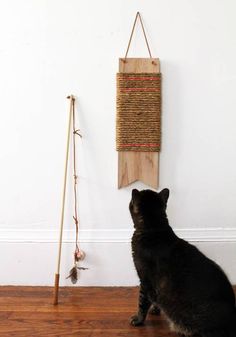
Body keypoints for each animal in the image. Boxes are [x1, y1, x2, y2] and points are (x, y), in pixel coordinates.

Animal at [129, 186, 236, 336]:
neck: (154, 229)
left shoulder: (145, 280)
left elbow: (142, 302)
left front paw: (138, 320)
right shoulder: (153, 286)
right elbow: (154, 299)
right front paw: (155, 310)